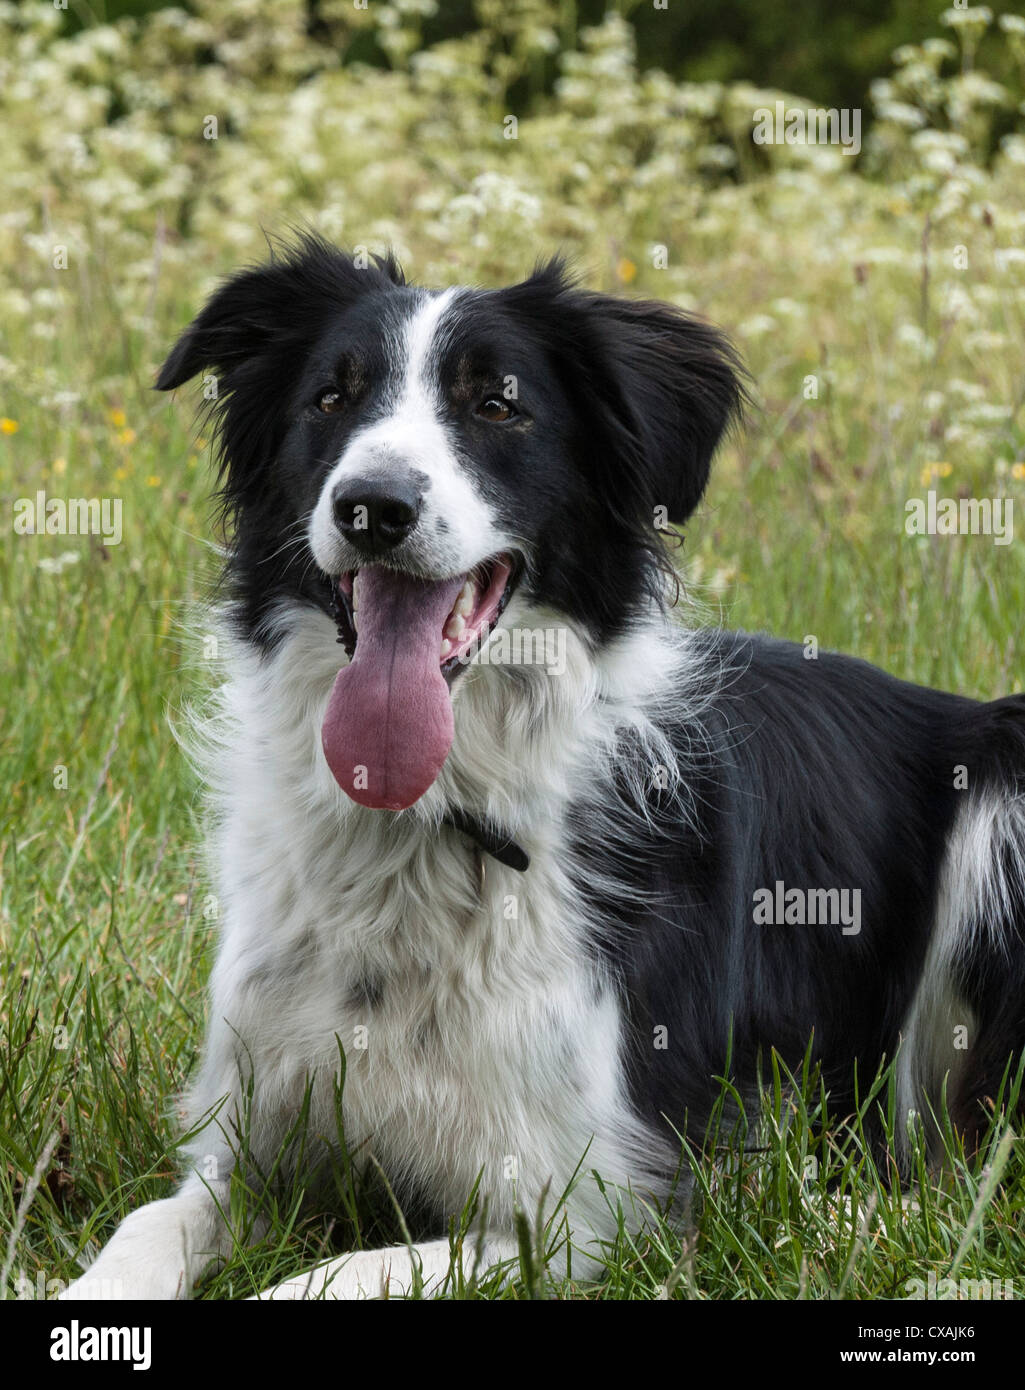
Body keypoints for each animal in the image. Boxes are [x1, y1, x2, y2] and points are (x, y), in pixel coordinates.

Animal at [68, 236, 1018, 1289]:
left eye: (497, 405)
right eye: (329, 398)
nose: (371, 507)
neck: (426, 820)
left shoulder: (575, 1215)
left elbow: (325, 1278)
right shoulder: (252, 1146)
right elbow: (148, 1222)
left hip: (1000, 789)